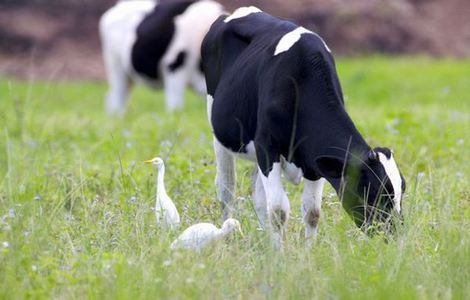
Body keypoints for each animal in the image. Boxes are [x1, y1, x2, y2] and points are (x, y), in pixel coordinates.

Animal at [200, 7, 406, 246]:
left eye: (403, 190)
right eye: (373, 192)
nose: (395, 236)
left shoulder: (312, 161)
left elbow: (312, 212)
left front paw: (307, 251)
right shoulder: (267, 147)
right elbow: (278, 210)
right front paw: (280, 253)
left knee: (259, 197)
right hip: (220, 132)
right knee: (226, 189)